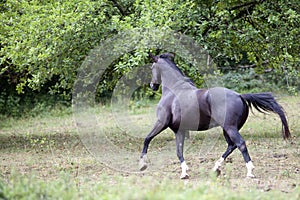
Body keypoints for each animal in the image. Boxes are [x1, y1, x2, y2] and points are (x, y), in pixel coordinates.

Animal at [139, 52, 290, 179]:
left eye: (152, 67)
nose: (152, 86)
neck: (174, 91)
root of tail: (240, 96)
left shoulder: (161, 123)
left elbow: (147, 139)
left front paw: (142, 164)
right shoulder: (179, 130)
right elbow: (179, 151)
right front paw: (184, 173)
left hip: (230, 128)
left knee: (240, 144)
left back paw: (249, 172)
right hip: (227, 129)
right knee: (231, 146)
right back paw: (216, 168)